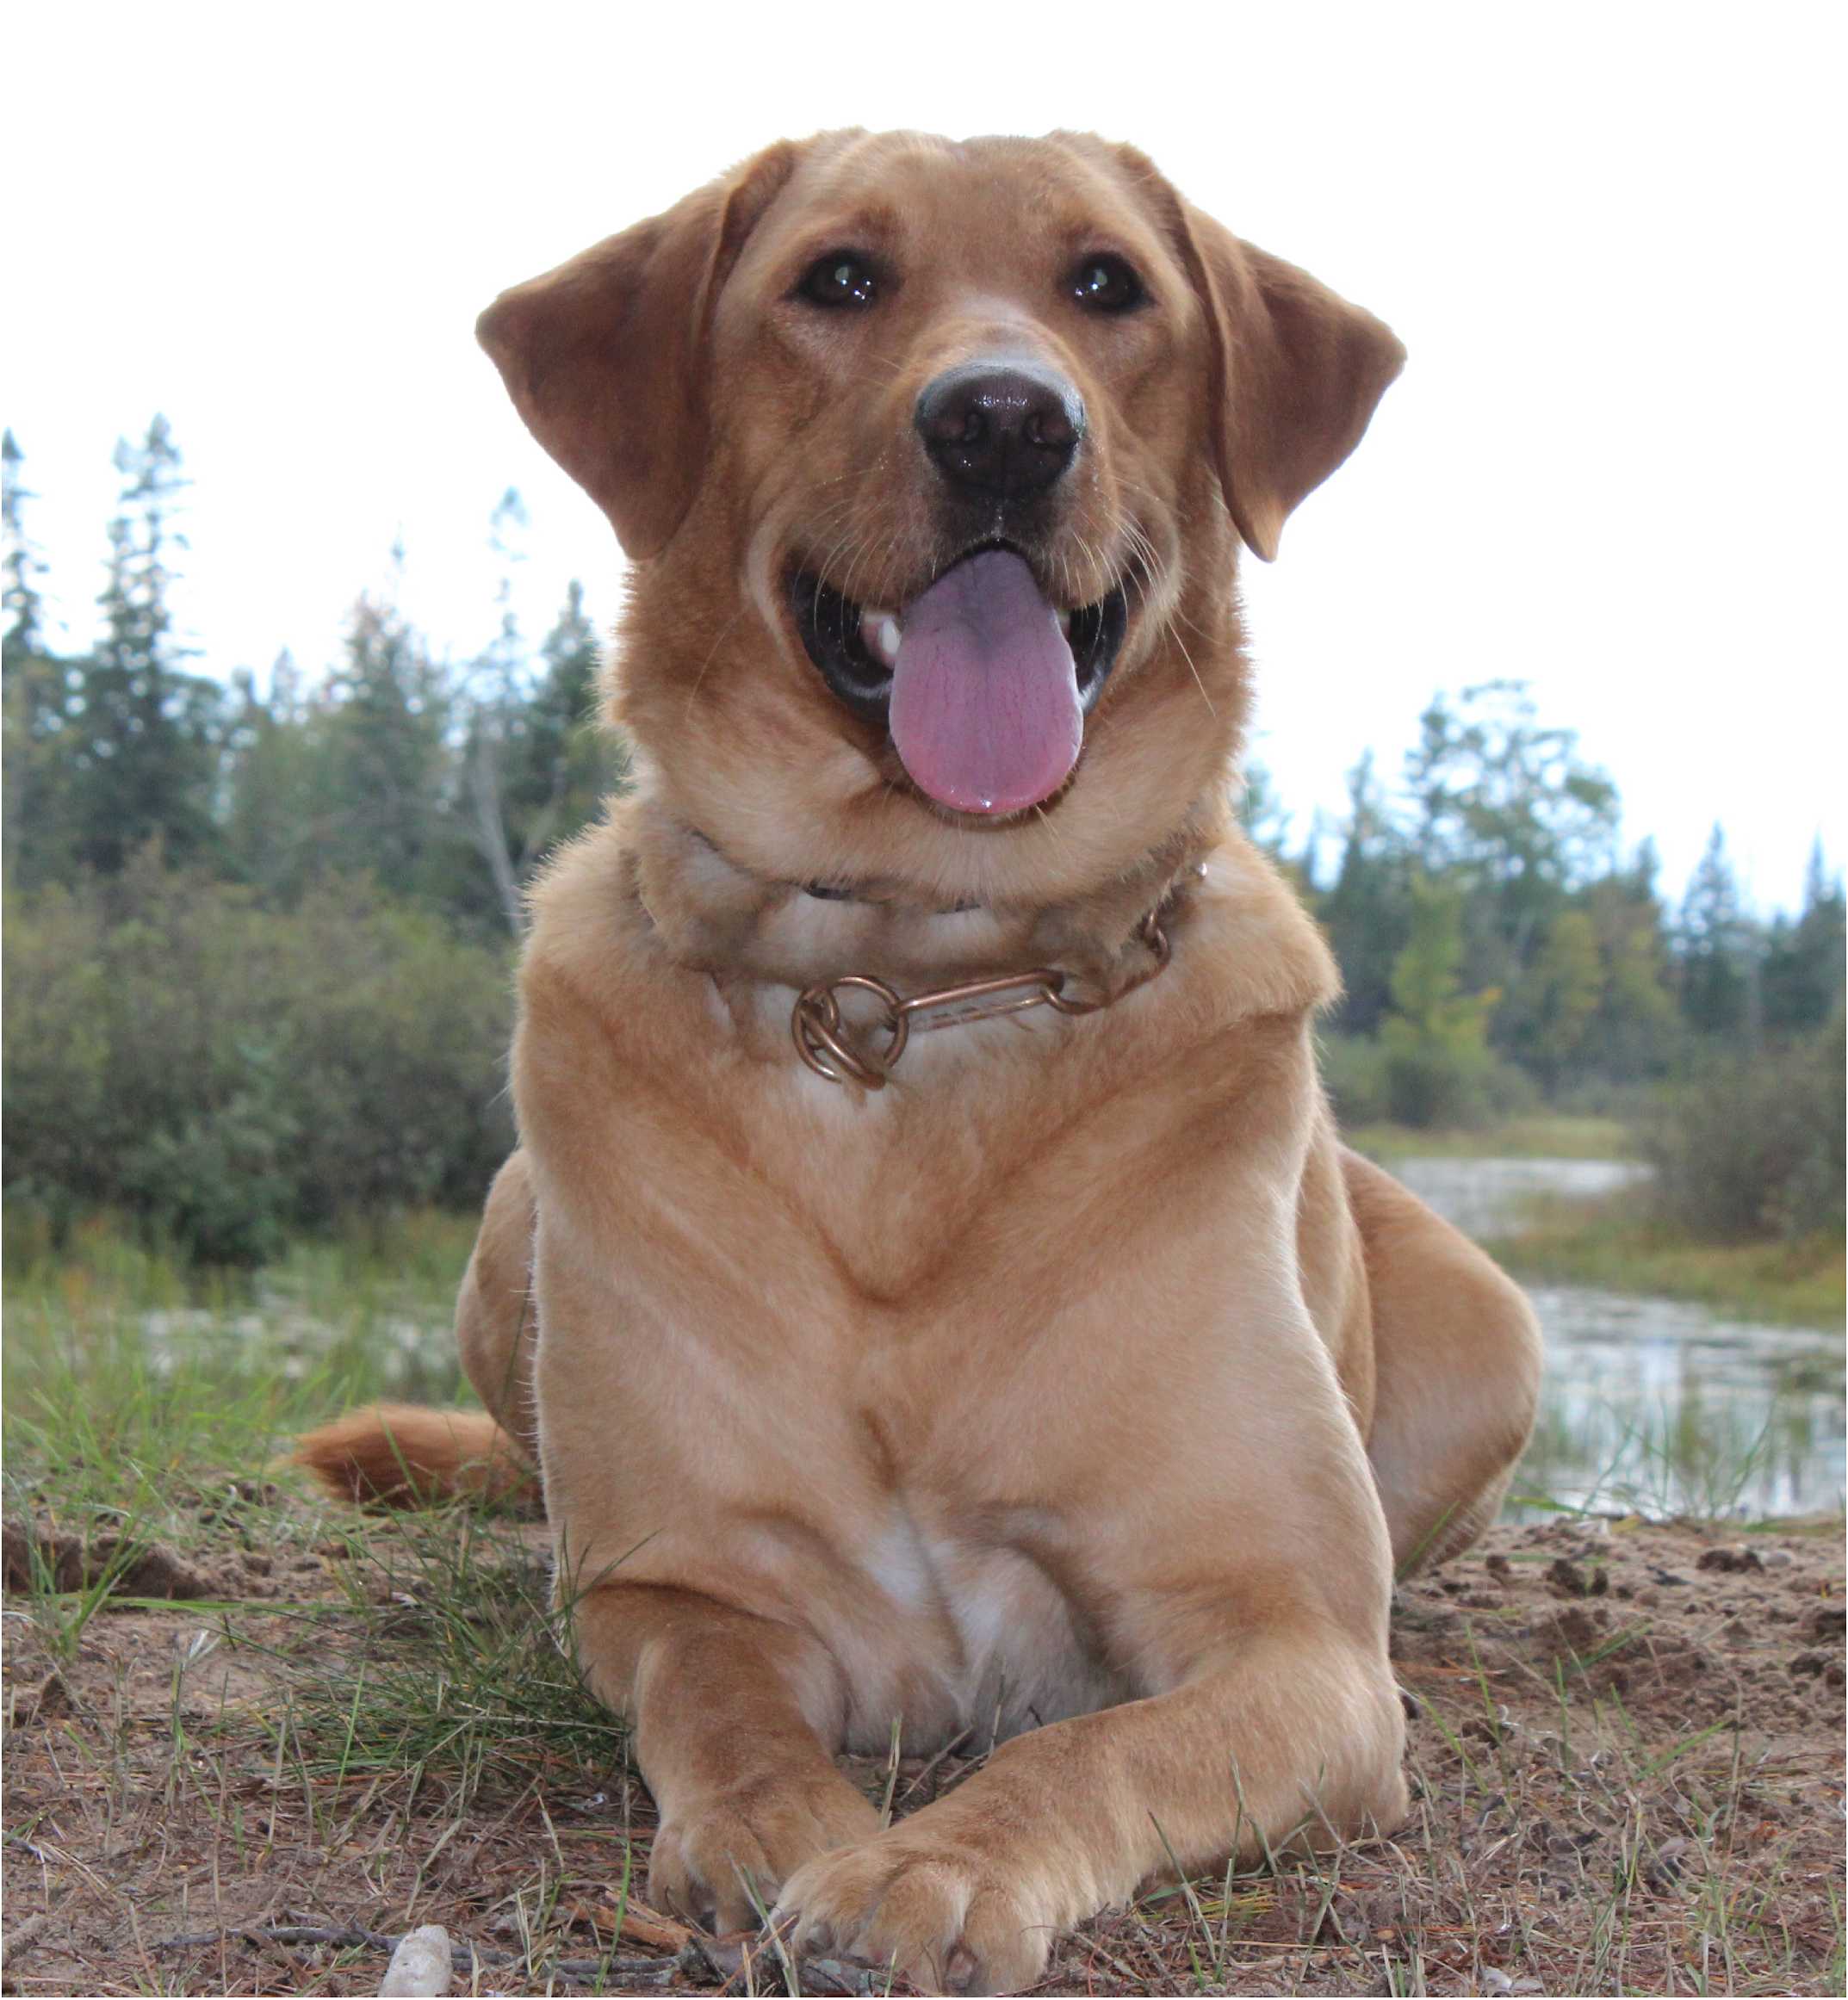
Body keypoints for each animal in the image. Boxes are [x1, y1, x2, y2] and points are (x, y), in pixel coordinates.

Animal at [304, 133, 1543, 1991]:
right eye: (837, 278)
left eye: (1107, 285)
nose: (1006, 423)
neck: (918, 973)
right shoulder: (674, 1579)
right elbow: (723, 1703)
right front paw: (777, 1830)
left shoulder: (1297, 1639)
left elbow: (1088, 1743)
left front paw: (930, 1865)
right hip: (510, 1223)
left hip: (1490, 1323)